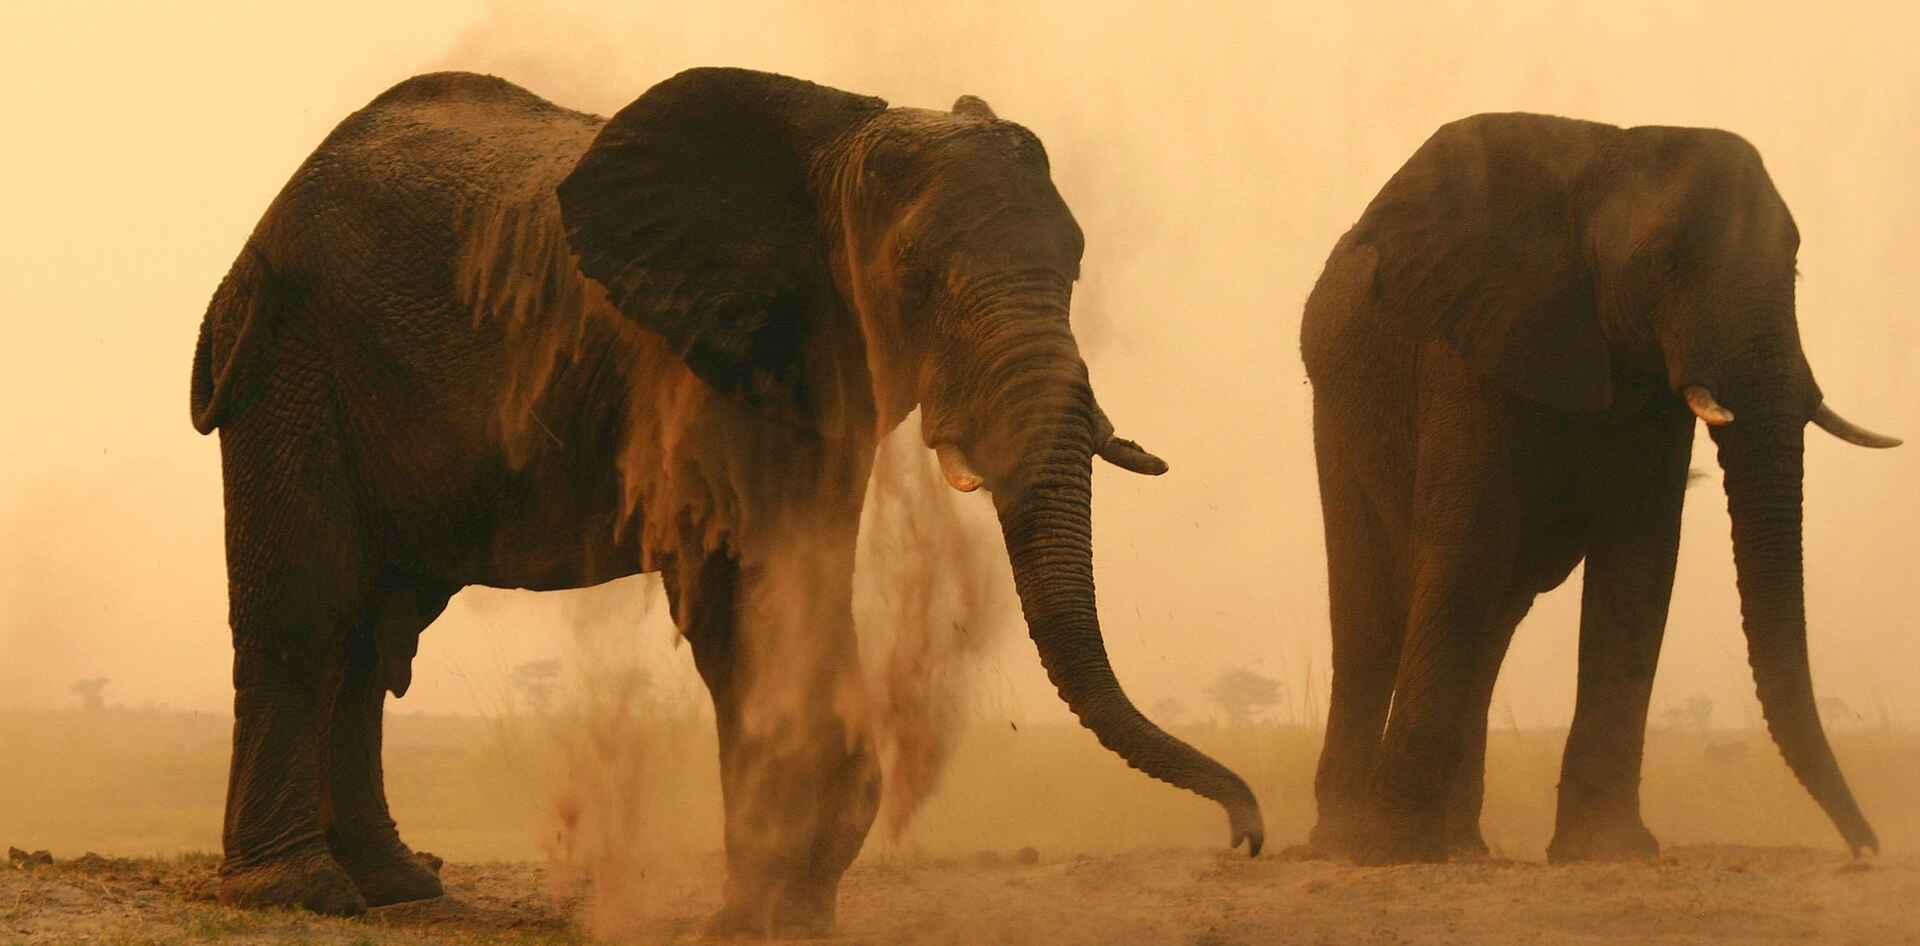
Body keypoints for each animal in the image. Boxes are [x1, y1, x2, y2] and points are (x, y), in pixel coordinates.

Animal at [188, 68, 1262, 933]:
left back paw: (398, 885)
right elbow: (745, 595)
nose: (1245, 838)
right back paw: (304, 893)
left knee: (371, 636)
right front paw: (763, 913)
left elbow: (801, 582)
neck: (839, 146)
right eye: (915, 277)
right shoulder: (698, 357)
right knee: (309, 608)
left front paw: (793, 908)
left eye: (1077, 262)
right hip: (294, 356)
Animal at [1297, 112, 1899, 865]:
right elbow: (1468, 546)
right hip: (1337, 415)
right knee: (1374, 609)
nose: (1866, 847)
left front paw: (1608, 850)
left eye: (1792, 265)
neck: (1604, 157)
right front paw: (1395, 848)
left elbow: (1640, 564)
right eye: (1664, 262)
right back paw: (1347, 841)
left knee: (1490, 617)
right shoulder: (1473, 341)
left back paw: (1461, 846)